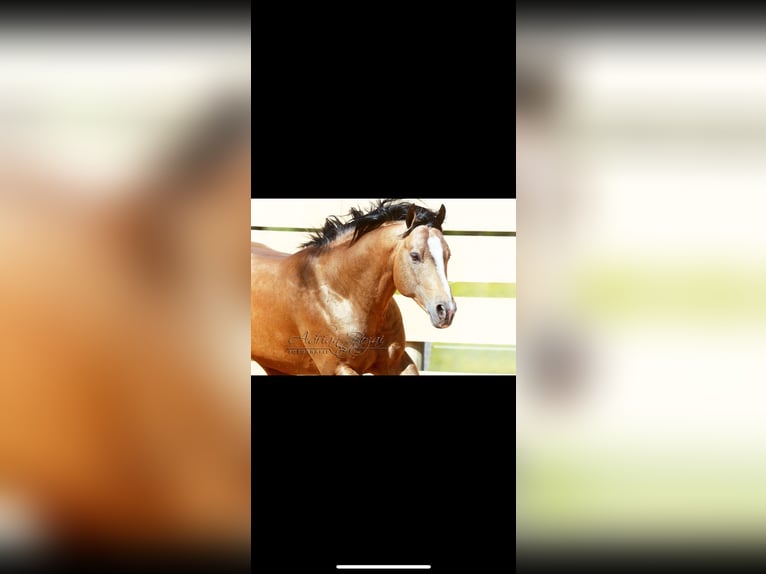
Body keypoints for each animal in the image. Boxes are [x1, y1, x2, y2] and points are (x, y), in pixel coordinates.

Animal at [251, 199, 457, 375]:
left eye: (448, 255)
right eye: (415, 255)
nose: (446, 311)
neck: (342, 293)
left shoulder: (398, 363)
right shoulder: (337, 368)